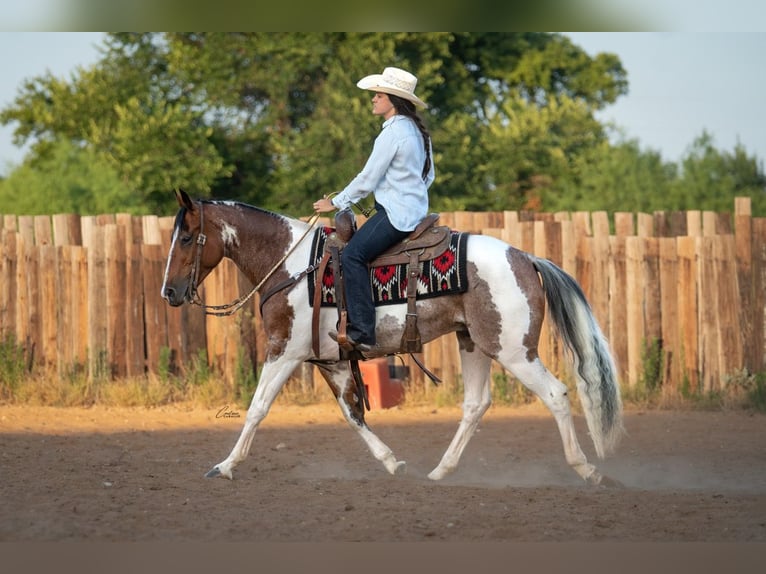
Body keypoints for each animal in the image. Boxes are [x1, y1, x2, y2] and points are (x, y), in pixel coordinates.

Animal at [161, 190, 624, 485]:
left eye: (185, 237)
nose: (169, 292)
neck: (291, 266)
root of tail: (526, 256)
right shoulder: (330, 360)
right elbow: (354, 415)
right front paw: (392, 463)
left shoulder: (284, 351)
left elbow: (257, 409)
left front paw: (224, 466)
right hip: (473, 343)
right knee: (475, 405)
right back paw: (440, 472)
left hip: (513, 350)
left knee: (557, 394)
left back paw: (587, 469)